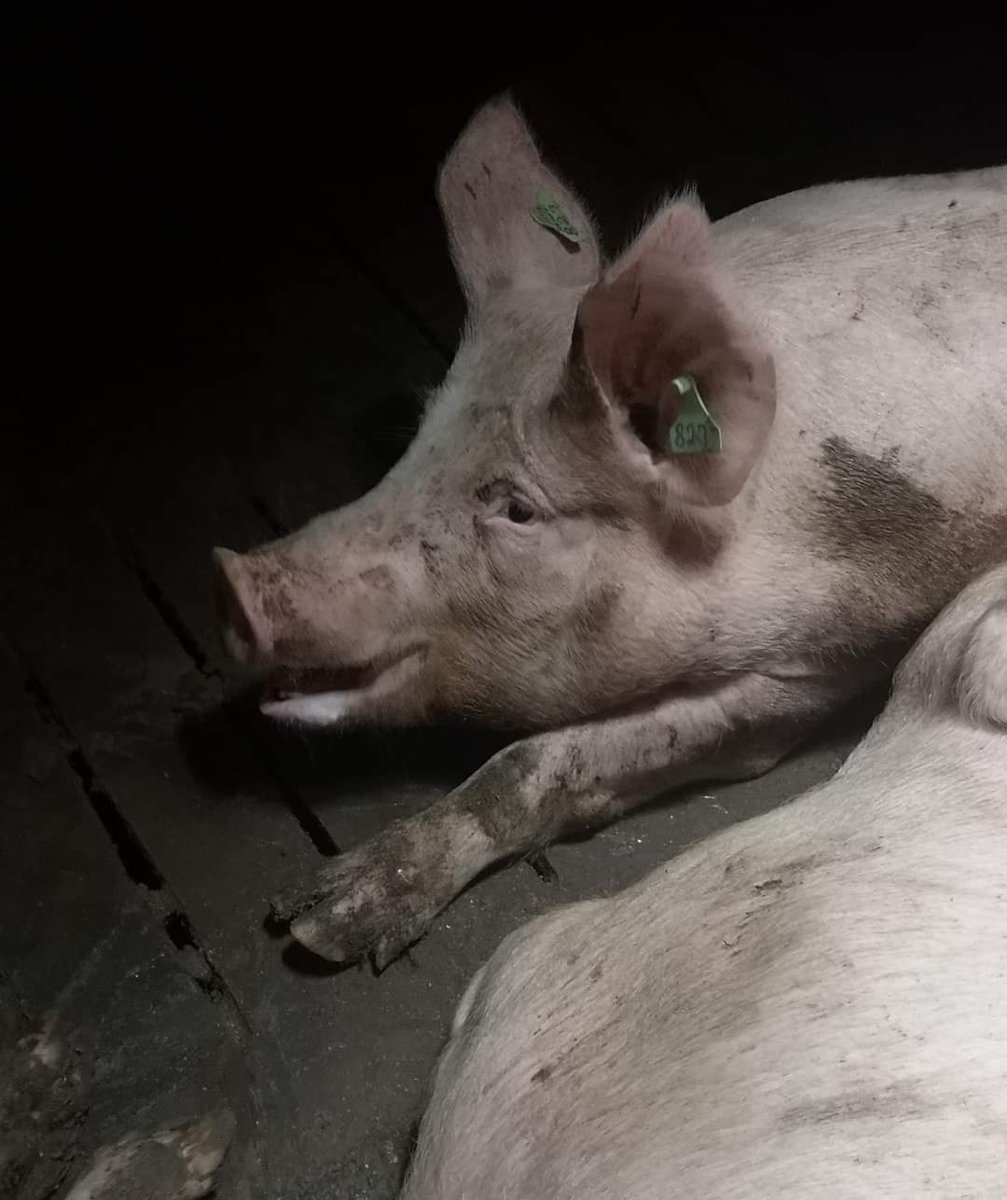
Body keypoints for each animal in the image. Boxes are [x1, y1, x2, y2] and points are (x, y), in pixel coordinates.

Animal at [213, 95, 1007, 966]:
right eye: (418, 441)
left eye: (517, 508)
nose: (234, 579)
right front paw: (301, 913)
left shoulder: (816, 657)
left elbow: (543, 758)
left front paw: (320, 932)